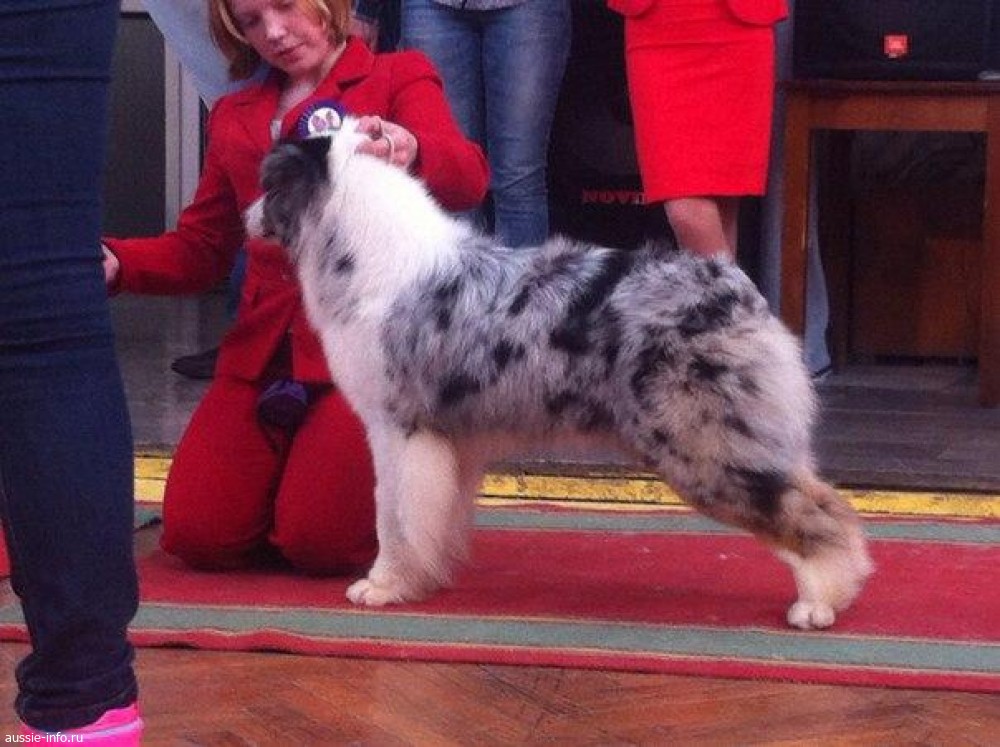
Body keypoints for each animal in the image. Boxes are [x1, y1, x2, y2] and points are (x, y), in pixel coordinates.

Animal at [245, 120, 873, 630]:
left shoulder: (399, 427)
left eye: (270, 188)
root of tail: (735, 288)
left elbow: (392, 513)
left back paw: (820, 602)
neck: (370, 261)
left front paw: (384, 585)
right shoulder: (448, 440)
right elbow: (432, 514)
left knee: (814, 513)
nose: (246, 217)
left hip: (702, 443)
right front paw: (428, 574)